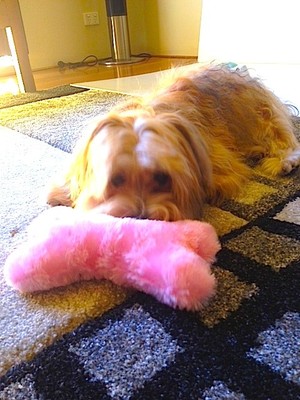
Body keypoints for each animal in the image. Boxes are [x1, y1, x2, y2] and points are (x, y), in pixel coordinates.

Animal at [47, 65, 300, 222]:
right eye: (116, 180)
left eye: (162, 178)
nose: (141, 216)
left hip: (260, 117)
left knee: (283, 138)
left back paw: (284, 161)